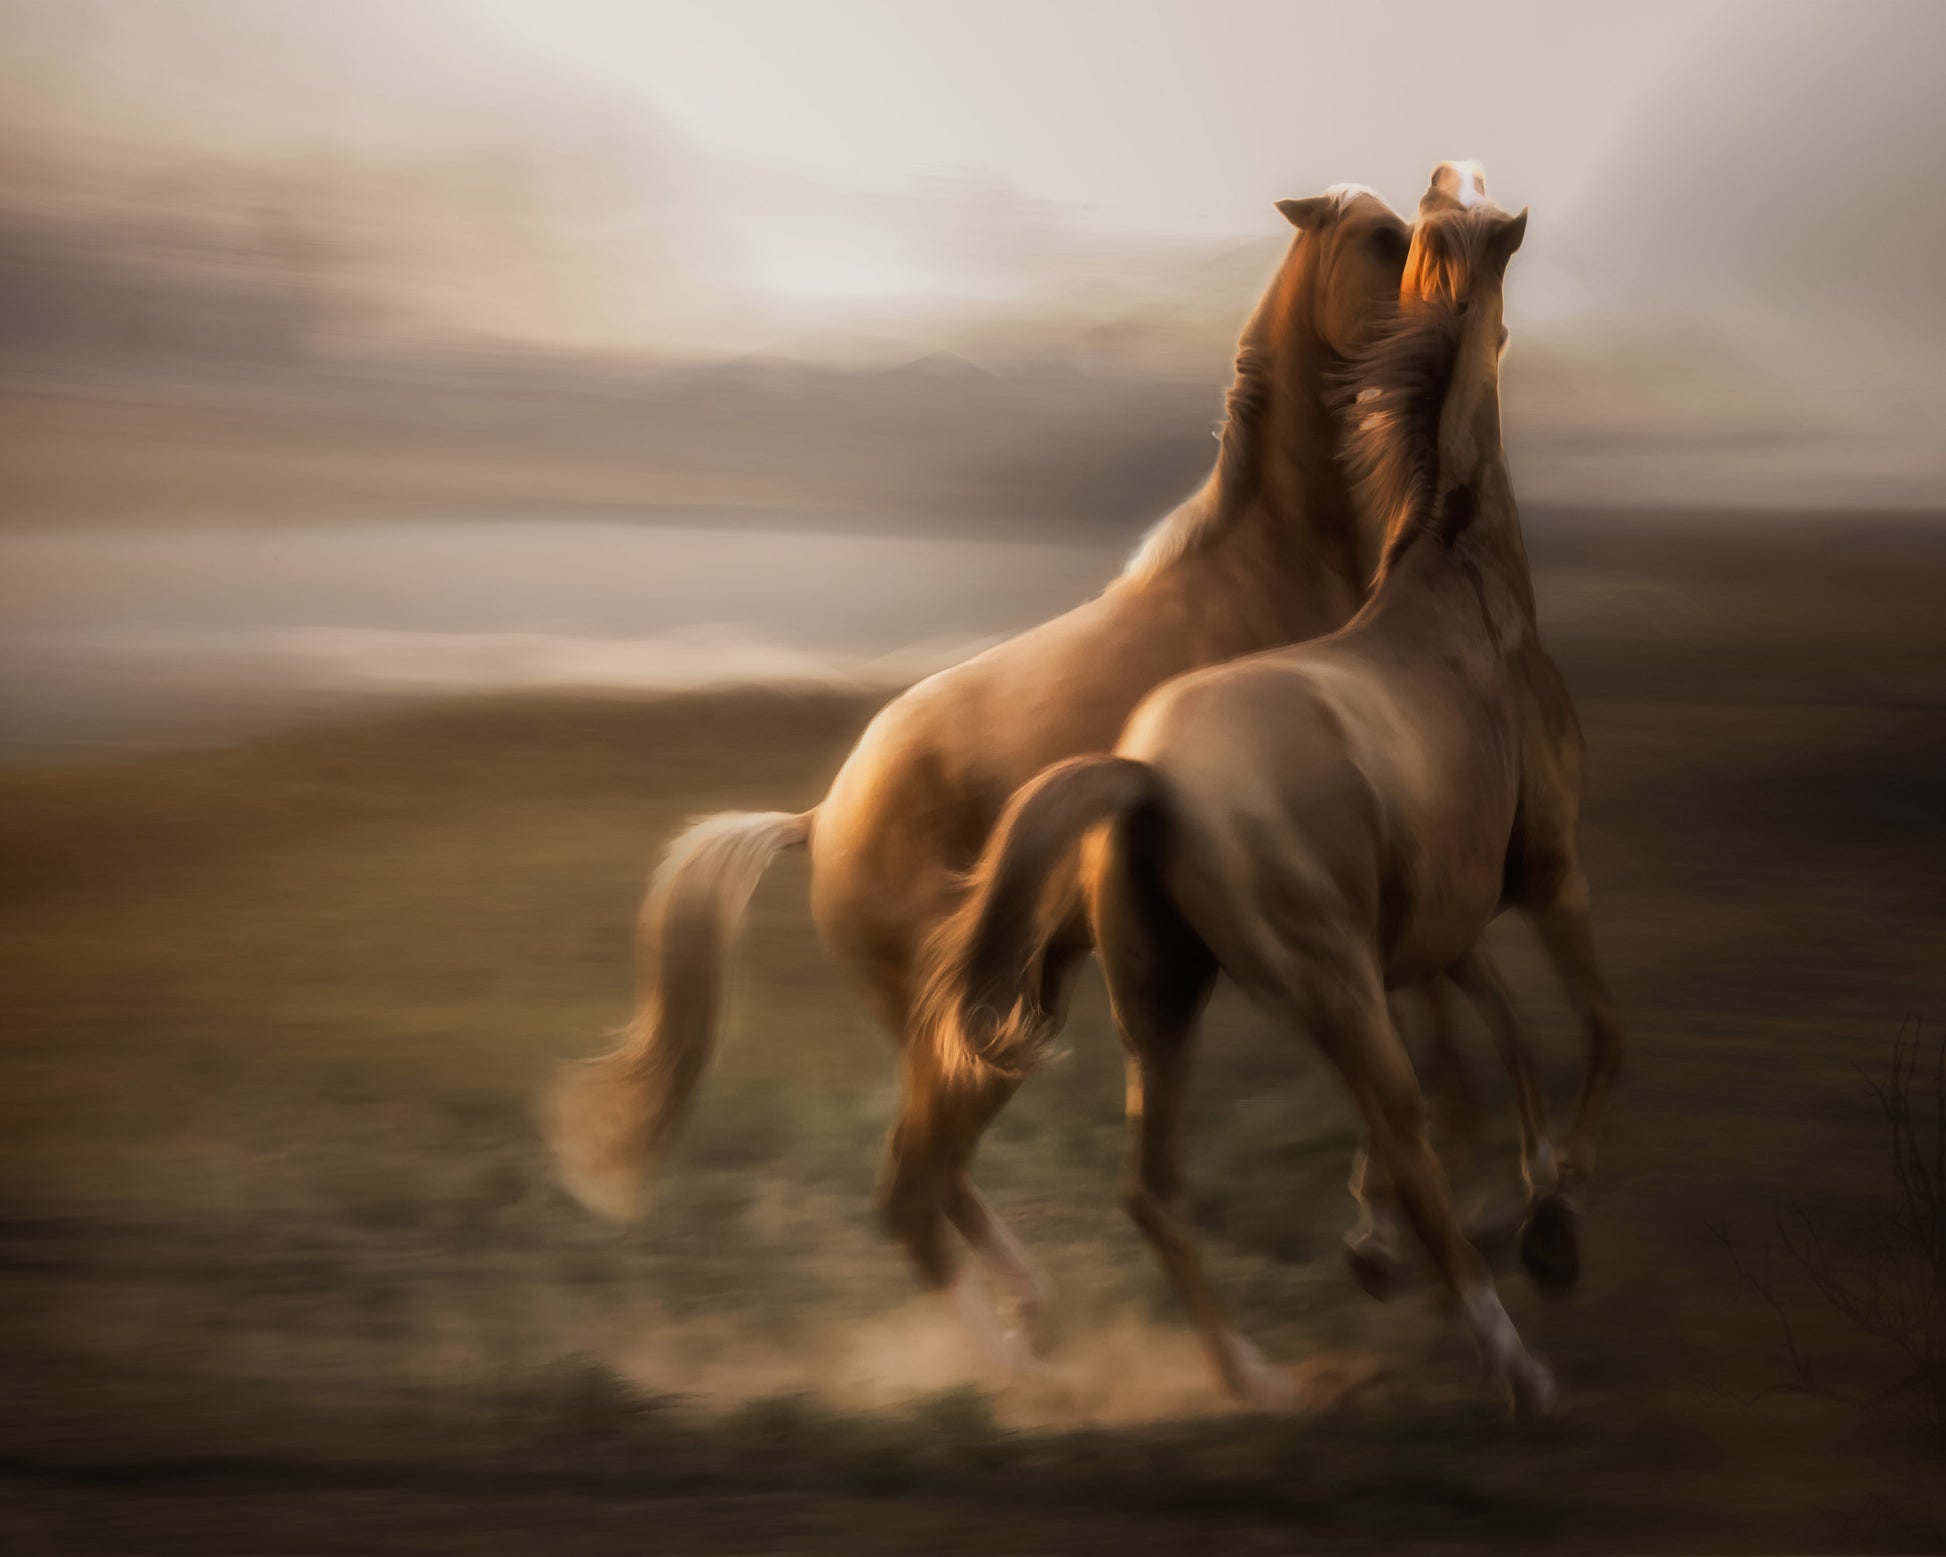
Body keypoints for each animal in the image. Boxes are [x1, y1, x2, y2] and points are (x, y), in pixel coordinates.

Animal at [545, 182, 1432, 1363]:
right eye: (1382, 240)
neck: (1265, 578)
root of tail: (821, 818)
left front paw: (1384, 1232)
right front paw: (1379, 1235)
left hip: (991, 1020)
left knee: (937, 1184)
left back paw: (1035, 1325)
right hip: (967, 1035)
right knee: (911, 1192)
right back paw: (1017, 1369)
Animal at [925, 176, 1623, 1416]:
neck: (1461, 582)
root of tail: (1149, 777)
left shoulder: (1436, 934)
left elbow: (1496, 1044)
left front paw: (1471, 1211)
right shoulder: (1547, 875)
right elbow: (1590, 1035)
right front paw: (1547, 1222)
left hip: (1166, 1002)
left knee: (1152, 1188)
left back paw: (1251, 1377)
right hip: (1324, 988)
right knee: (1398, 1133)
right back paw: (1510, 1365)